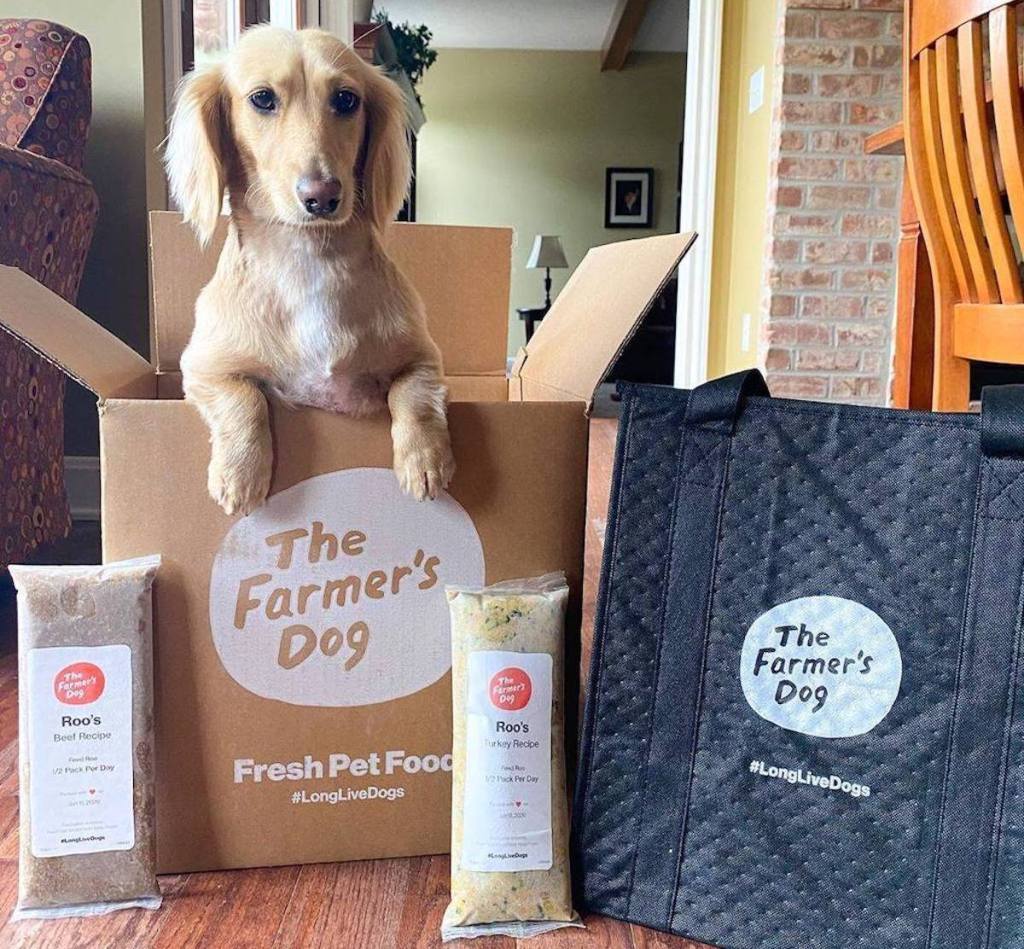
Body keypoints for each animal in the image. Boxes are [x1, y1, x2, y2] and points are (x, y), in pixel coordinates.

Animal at [165, 27, 454, 520]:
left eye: (346, 99)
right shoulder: (201, 368)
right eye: (262, 98)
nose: (322, 196)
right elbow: (244, 398)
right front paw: (241, 472)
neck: (309, 257)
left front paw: (426, 459)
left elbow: (414, 395)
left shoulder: (425, 358)